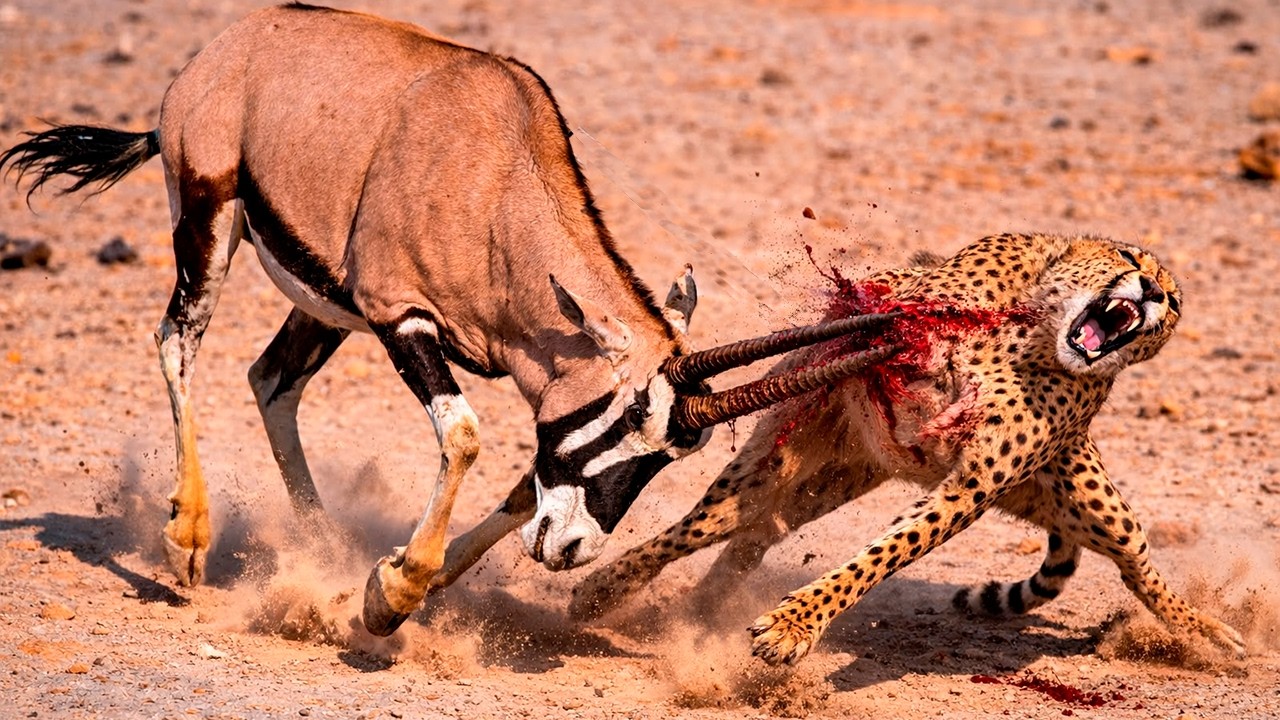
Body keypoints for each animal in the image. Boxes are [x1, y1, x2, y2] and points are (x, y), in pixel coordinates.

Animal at [568, 232, 1246, 666]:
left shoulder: (972, 486)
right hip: (792, 464)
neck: (1037, 337)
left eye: (1173, 302)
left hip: (1094, 504)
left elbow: (883, 555)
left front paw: (793, 625)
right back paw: (616, 590)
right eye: (1129, 258)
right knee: (723, 523)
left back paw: (1211, 633)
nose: (1152, 291)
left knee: (1139, 568)